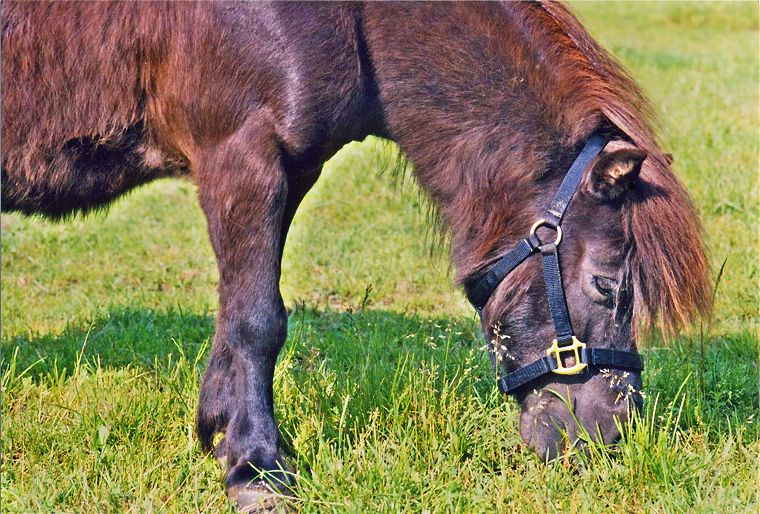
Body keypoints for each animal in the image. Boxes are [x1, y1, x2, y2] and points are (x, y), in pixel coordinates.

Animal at [1, 1, 711, 509]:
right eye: (608, 286)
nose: (612, 438)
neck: (353, 15)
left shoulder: (290, 170)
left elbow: (238, 316)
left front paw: (219, 432)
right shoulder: (242, 157)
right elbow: (258, 320)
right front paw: (256, 470)